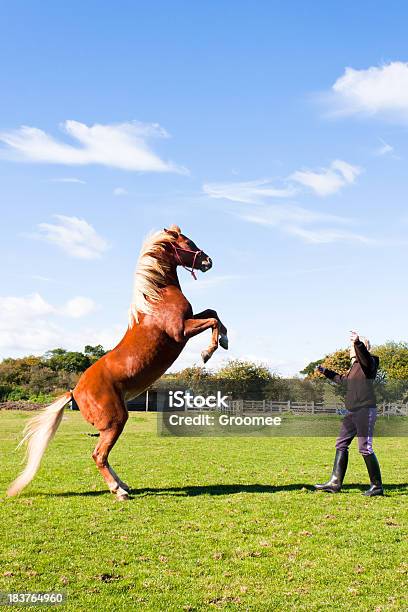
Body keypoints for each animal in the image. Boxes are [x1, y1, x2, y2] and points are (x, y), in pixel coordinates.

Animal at [7, 227, 228, 500]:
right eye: (188, 243)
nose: (208, 261)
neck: (157, 299)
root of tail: (74, 392)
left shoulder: (190, 321)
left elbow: (213, 313)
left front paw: (224, 340)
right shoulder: (182, 331)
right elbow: (212, 320)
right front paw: (208, 352)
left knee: (101, 455)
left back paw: (123, 485)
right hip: (116, 421)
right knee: (98, 455)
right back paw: (119, 491)